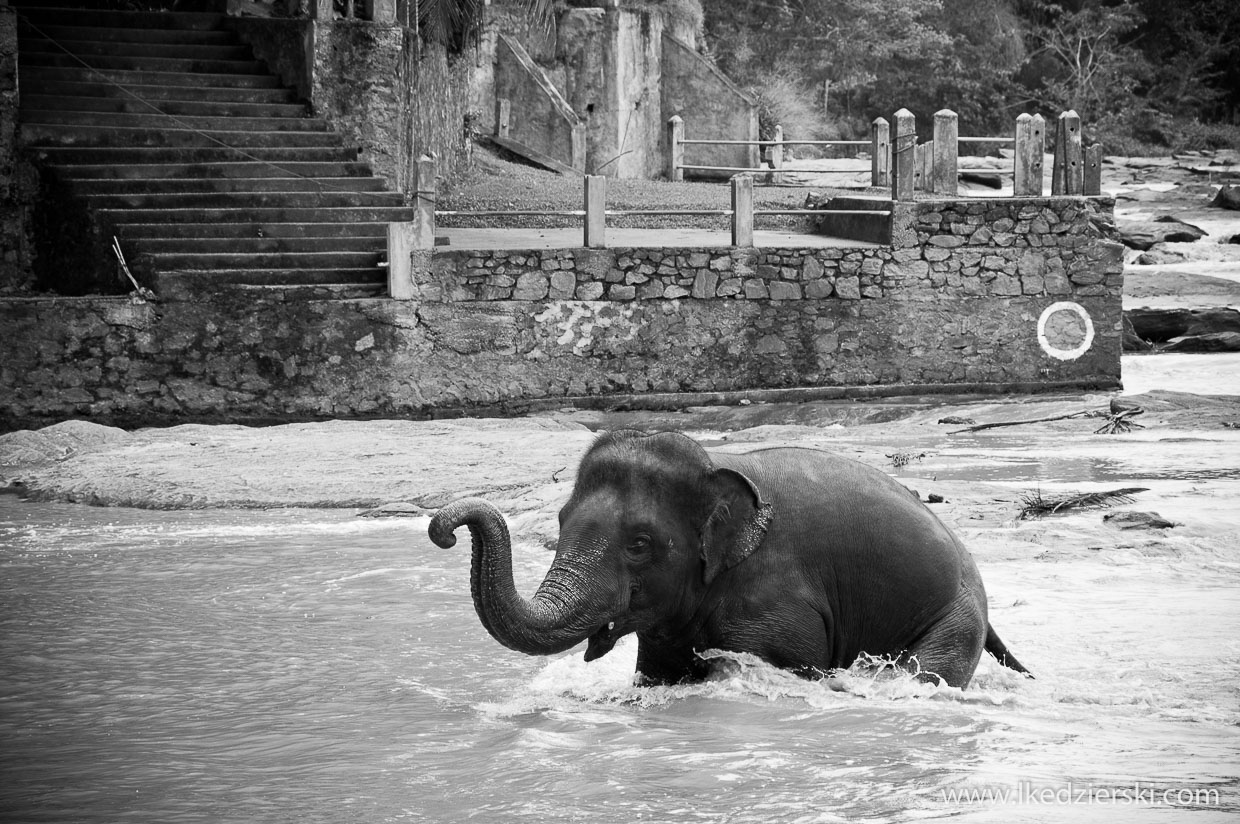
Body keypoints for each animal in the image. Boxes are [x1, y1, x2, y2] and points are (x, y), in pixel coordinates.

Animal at [426, 431, 1026, 688]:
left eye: (639, 544)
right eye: (558, 521)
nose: (442, 529)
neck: (713, 464)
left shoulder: (776, 604)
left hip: (955, 617)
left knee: (931, 671)